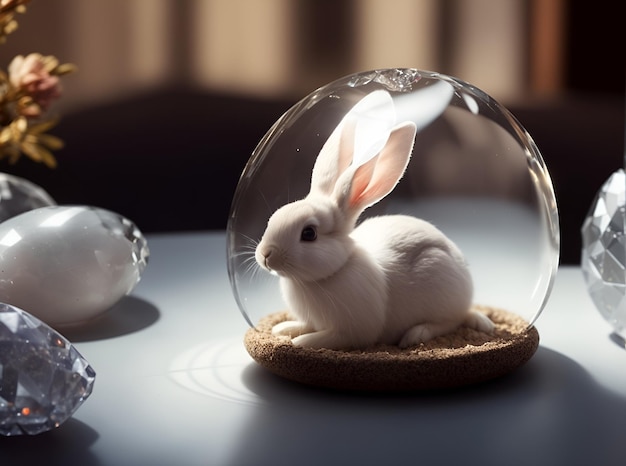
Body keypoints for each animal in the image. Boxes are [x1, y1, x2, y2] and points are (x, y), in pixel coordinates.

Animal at [254, 91, 492, 348]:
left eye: (309, 233)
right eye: (274, 216)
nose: (266, 254)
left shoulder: (351, 332)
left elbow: (324, 338)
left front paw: (299, 342)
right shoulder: (314, 320)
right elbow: (304, 325)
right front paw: (283, 328)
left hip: (441, 282)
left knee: (451, 321)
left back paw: (416, 334)